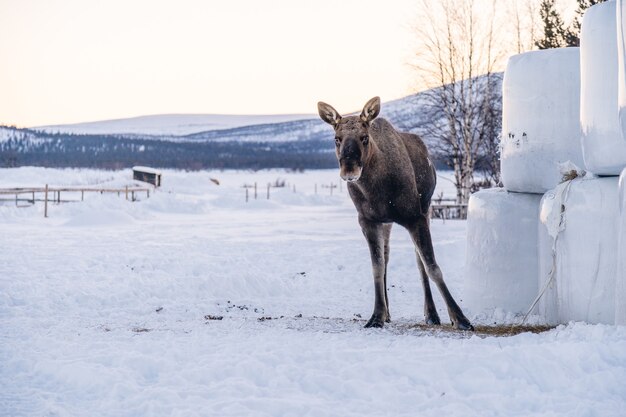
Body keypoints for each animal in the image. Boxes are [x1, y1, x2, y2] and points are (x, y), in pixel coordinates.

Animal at [320, 96, 470, 330]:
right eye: (337, 138)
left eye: (364, 138)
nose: (349, 170)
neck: (377, 190)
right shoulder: (367, 220)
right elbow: (377, 266)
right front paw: (376, 315)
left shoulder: (415, 216)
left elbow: (432, 266)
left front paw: (460, 317)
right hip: (387, 221)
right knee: (387, 255)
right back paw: (389, 312)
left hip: (426, 208)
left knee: (419, 261)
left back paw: (431, 313)